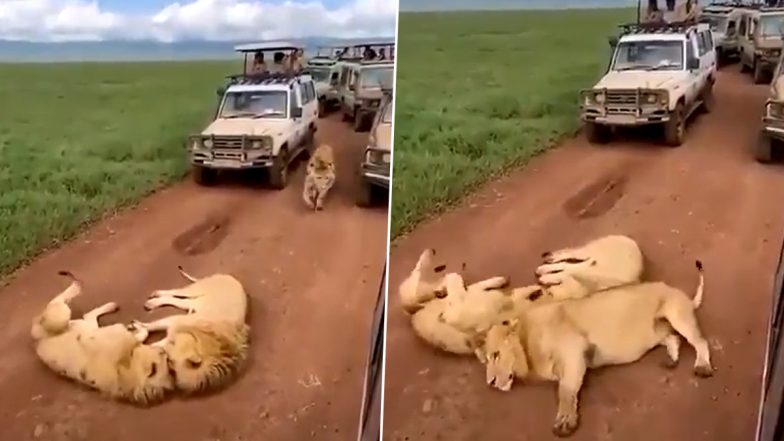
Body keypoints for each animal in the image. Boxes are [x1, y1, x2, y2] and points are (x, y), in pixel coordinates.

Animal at [132, 266, 248, 394]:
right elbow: (154, 326)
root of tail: (230, 278)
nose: (167, 359)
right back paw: (155, 296)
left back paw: (152, 303)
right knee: (175, 292)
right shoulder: (176, 321)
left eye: (171, 362)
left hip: (192, 302)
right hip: (195, 290)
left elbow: (156, 343)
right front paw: (140, 327)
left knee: (176, 300)